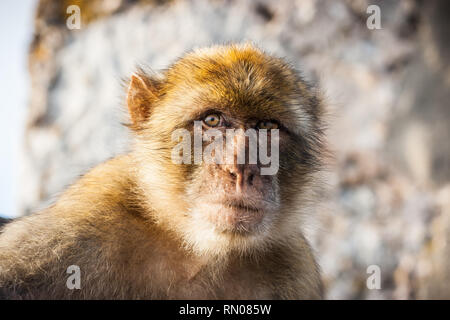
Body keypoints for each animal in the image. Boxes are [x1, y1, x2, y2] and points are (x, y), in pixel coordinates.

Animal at [0, 43, 326, 298]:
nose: (241, 167)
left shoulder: (294, 266)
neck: (200, 251)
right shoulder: (83, 218)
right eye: (212, 120)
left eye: (267, 126)